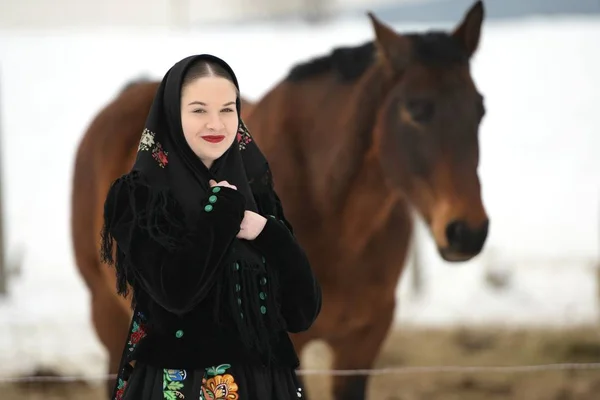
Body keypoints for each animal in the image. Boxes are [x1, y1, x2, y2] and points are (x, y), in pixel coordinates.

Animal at [72, 1, 490, 398]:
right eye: (414, 110)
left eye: (480, 109)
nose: (468, 231)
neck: (335, 218)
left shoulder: (364, 339)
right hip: (105, 312)